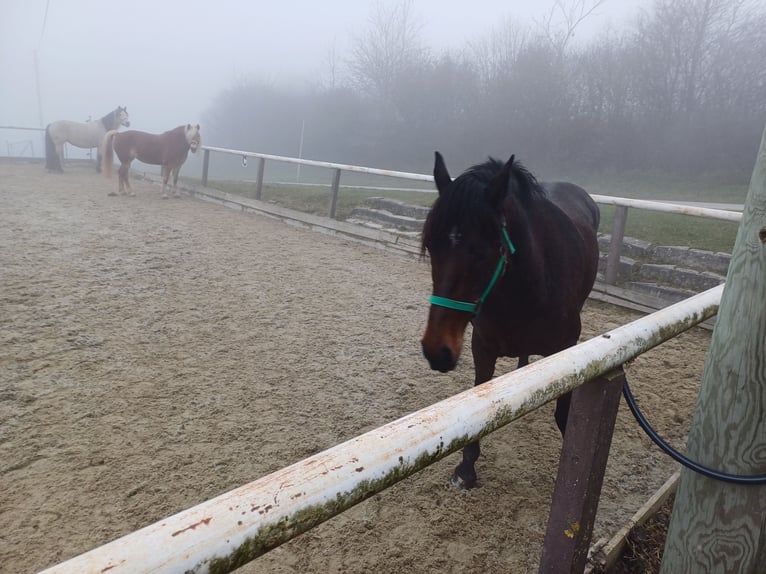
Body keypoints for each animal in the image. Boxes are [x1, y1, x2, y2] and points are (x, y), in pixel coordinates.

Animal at [424, 153, 604, 490]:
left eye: (481, 252)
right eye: (430, 245)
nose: (436, 351)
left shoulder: (568, 352)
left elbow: (565, 416)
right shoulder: (481, 348)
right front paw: (466, 468)